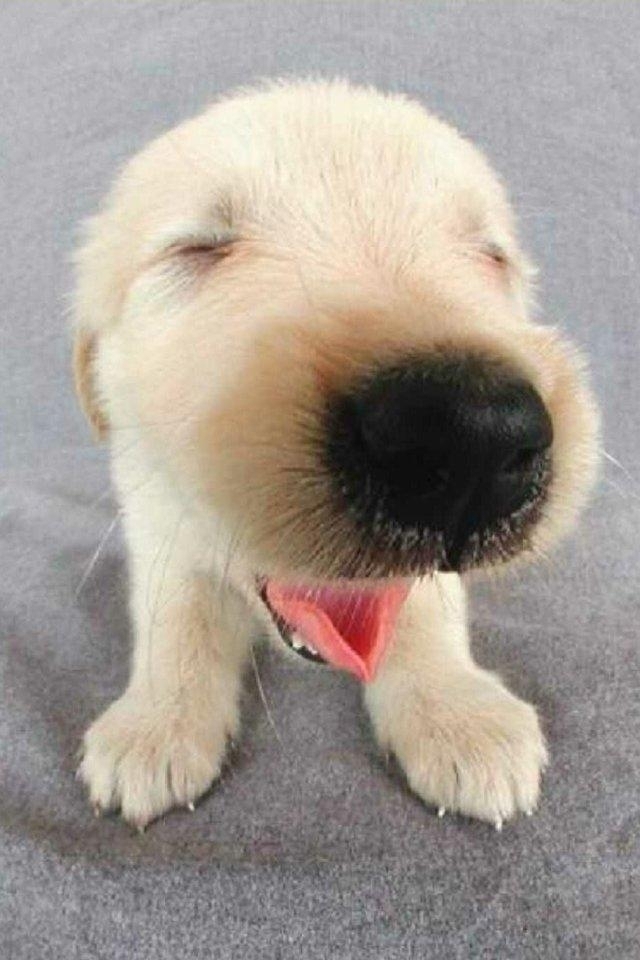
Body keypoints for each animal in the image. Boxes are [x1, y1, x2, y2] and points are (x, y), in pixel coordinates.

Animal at [73, 80, 599, 831]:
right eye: (198, 249)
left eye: (489, 256)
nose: (469, 434)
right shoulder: (156, 518)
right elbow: (177, 614)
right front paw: (157, 724)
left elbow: (425, 606)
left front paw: (458, 714)